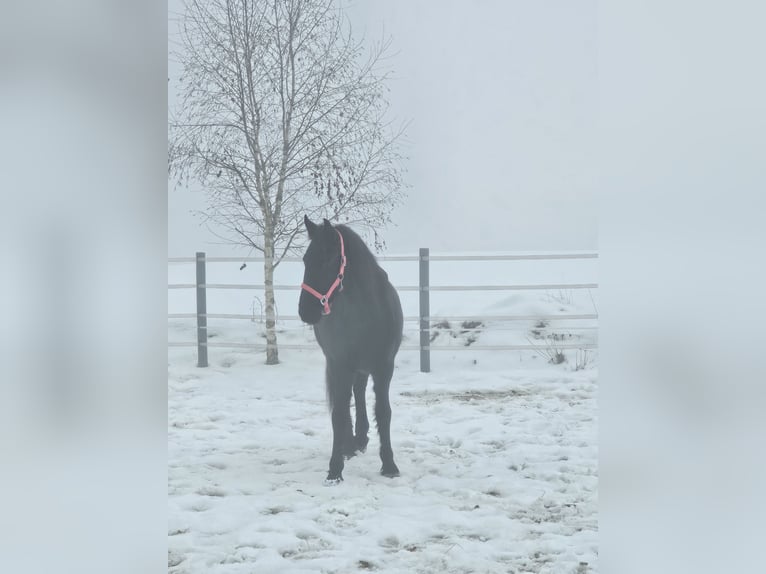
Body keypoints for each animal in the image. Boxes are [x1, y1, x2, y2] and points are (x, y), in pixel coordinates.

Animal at [298, 216, 403, 484]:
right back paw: (349, 445)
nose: (306, 311)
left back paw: (360, 439)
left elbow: (384, 412)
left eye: (327, 259)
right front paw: (335, 469)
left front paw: (389, 464)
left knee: (359, 392)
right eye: (305, 259)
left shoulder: (385, 367)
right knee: (346, 401)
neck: (366, 313)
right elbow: (338, 413)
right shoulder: (340, 364)